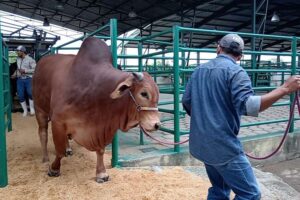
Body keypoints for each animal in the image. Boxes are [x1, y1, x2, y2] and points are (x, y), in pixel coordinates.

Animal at [31, 37, 161, 183]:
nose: (157, 125)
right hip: (39, 109)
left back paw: (68, 149)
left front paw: (101, 173)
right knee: (43, 134)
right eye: (144, 93)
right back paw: (45, 158)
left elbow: (100, 151)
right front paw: (54, 169)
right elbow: (59, 151)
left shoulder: (101, 127)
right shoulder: (57, 121)